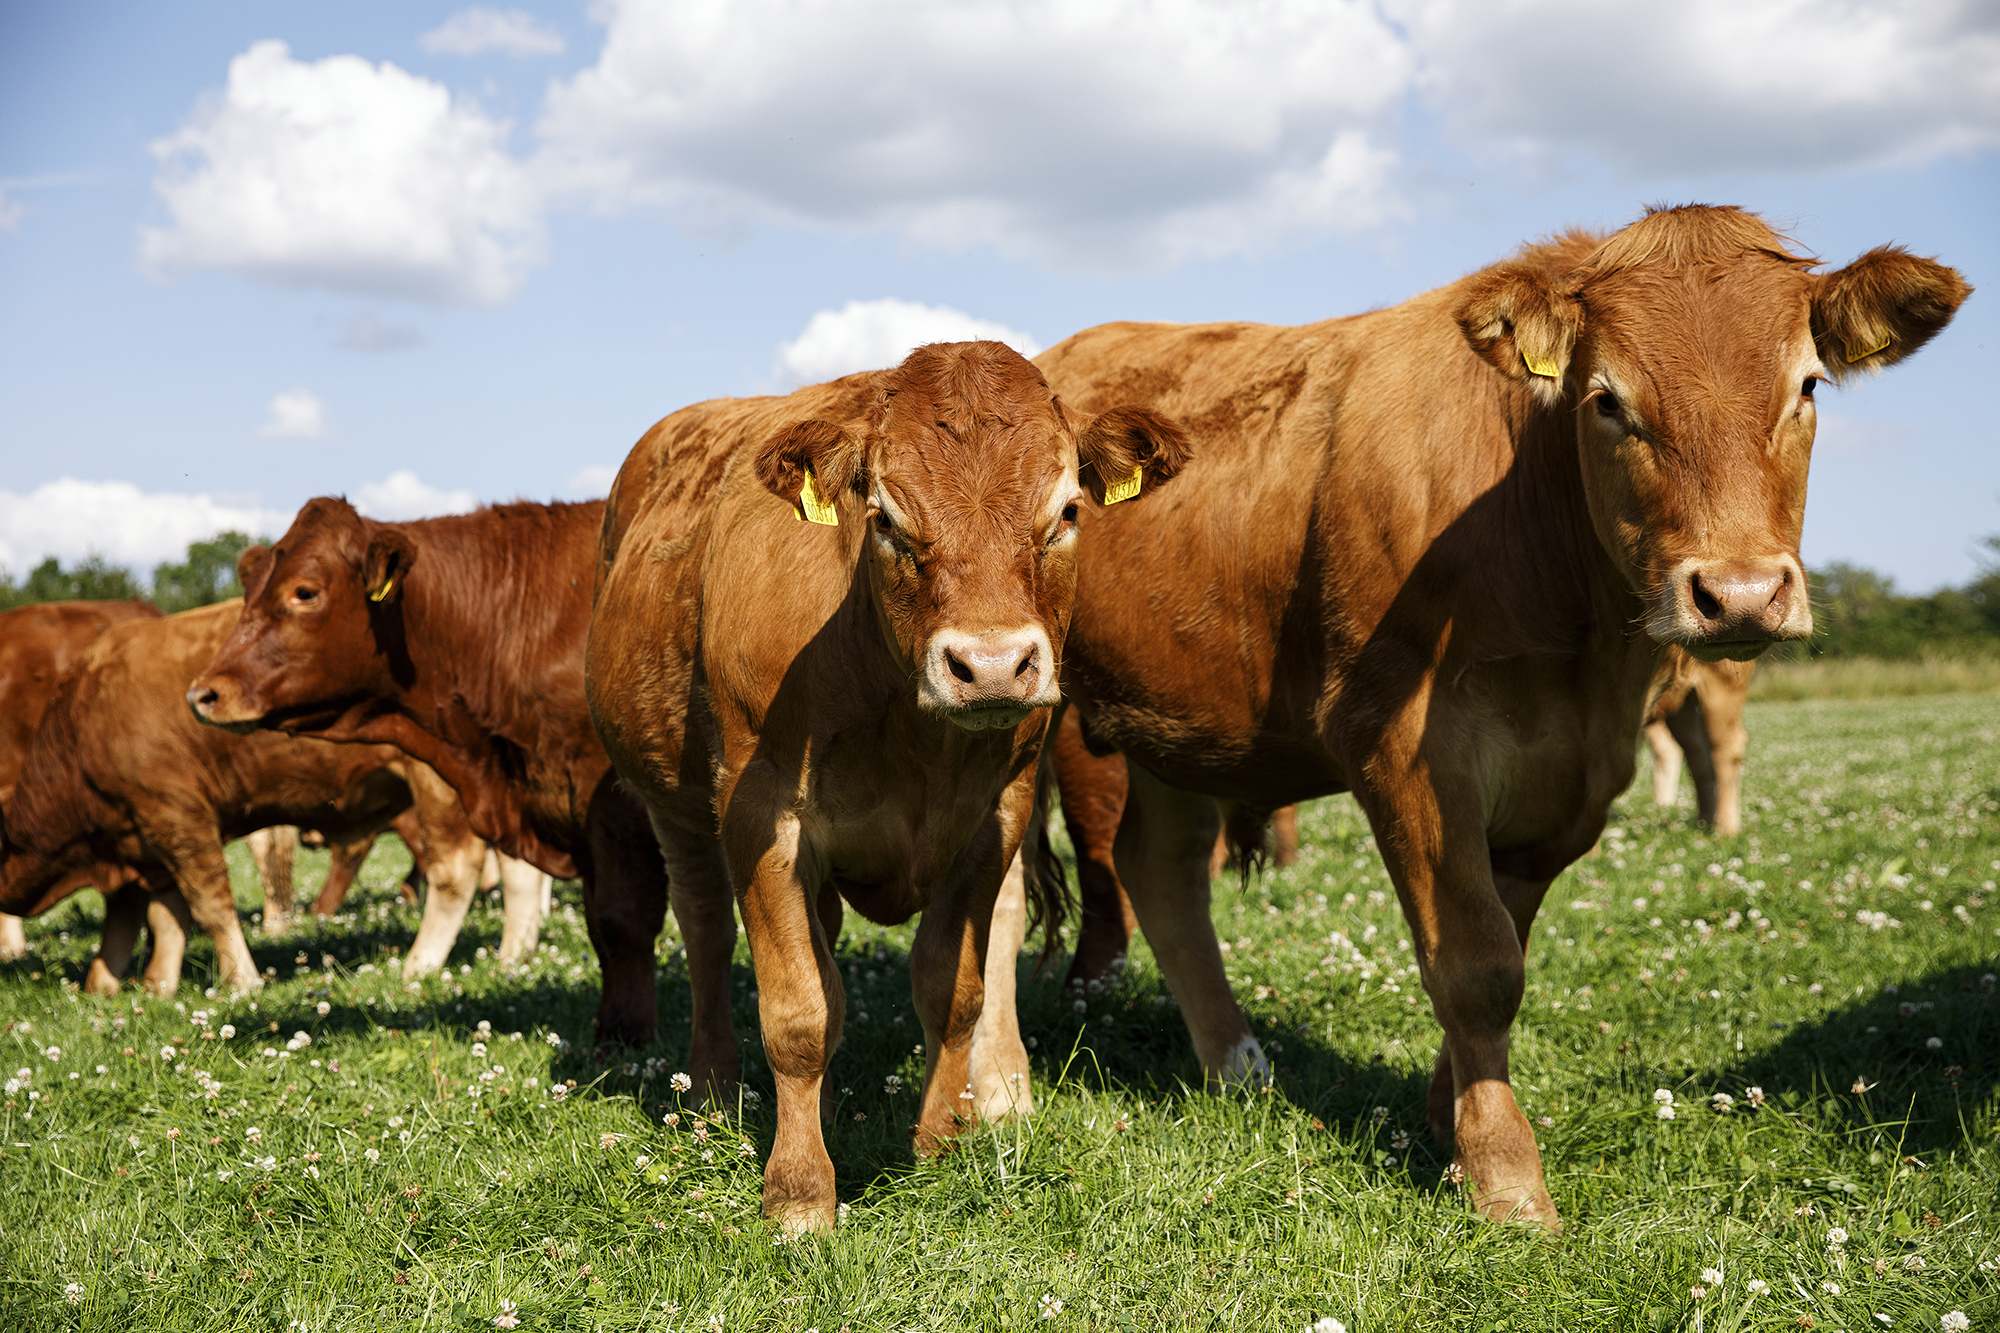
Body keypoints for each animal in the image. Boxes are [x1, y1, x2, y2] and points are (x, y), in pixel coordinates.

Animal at [186, 499, 665, 1047]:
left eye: (304, 591)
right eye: (251, 590)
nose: (203, 693)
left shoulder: (615, 805)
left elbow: (622, 920)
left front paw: (626, 1033)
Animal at [586, 340, 1190, 1230]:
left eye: (1067, 511)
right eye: (886, 521)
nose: (992, 664)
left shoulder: (994, 819)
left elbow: (953, 988)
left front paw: (941, 1140)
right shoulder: (760, 812)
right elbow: (798, 1012)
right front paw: (799, 1192)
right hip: (675, 805)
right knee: (706, 931)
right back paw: (717, 1091)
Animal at [1645, 649, 1754, 835]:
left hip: (1721, 689)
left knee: (1726, 749)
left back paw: (1725, 830)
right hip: (1684, 703)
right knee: (1696, 754)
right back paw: (1704, 823)